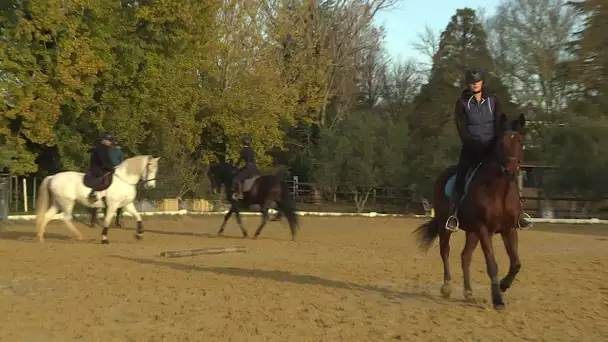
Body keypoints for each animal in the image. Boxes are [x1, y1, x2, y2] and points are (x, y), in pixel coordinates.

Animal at [414, 113, 528, 312]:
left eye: (520, 141)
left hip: (472, 232)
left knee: (465, 256)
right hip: (447, 226)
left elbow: (516, 264)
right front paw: (497, 299)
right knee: (445, 251)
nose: (511, 172)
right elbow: (492, 264)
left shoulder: (509, 230)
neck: (499, 191)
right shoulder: (484, 229)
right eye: (501, 143)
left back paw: (468, 292)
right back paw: (447, 286)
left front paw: (504, 285)